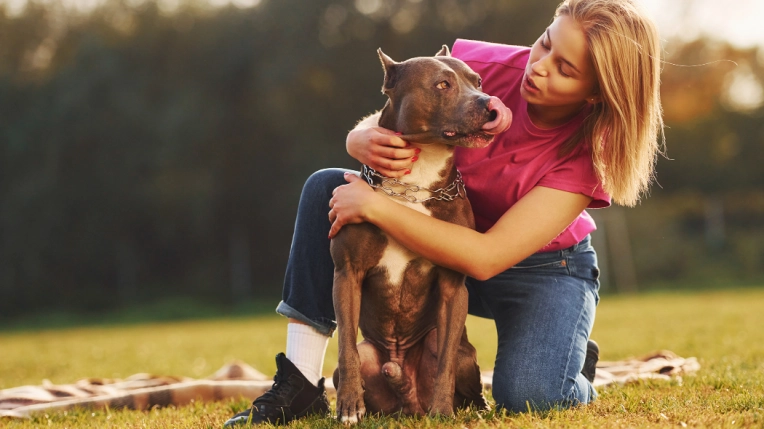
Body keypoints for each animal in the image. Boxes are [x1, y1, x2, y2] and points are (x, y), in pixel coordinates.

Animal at [332, 46, 510, 422]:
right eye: (442, 84)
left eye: (478, 81)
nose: (490, 105)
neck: (415, 182)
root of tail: (409, 400)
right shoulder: (347, 274)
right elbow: (345, 348)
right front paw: (349, 407)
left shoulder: (453, 288)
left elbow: (445, 361)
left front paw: (442, 410)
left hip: (461, 352)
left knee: (459, 367)